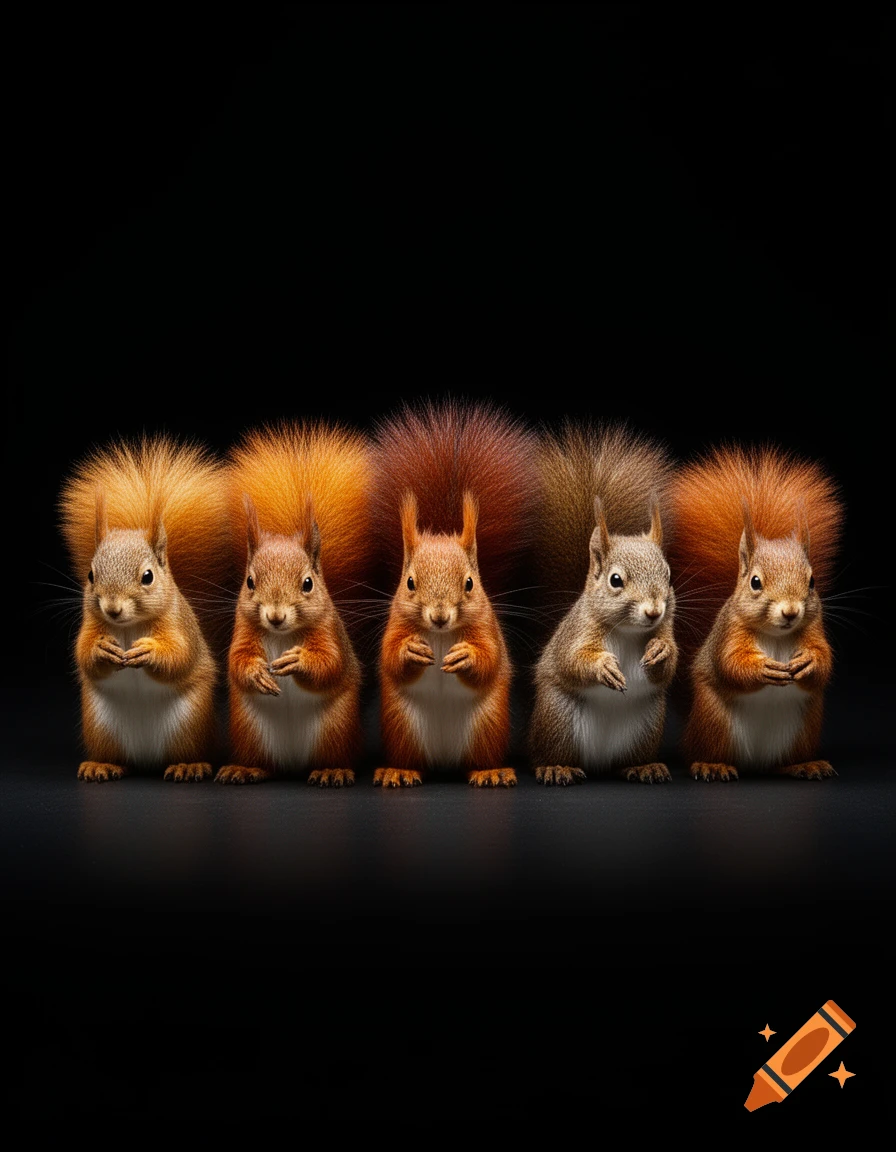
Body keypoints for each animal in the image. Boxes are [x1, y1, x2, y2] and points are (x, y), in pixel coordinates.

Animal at [58, 434, 232, 782]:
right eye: (91, 575)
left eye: (147, 576)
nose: (112, 609)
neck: (128, 627)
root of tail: (146, 759)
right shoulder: (90, 623)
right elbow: (83, 654)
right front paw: (100, 649)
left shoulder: (179, 625)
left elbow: (180, 655)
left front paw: (150, 651)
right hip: (101, 727)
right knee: (116, 756)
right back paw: (102, 764)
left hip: (190, 723)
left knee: (185, 751)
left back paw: (188, 765)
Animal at [215, 420, 374, 786]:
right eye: (249, 582)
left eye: (308, 584)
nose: (275, 616)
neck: (282, 635)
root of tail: (292, 764)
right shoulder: (243, 630)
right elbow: (236, 661)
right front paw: (257, 672)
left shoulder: (329, 631)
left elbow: (330, 663)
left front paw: (298, 661)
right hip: (249, 730)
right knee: (262, 762)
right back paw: (245, 768)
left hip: (335, 728)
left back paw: (332, 770)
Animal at [369, 397, 541, 787]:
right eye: (410, 582)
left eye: (470, 583)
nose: (439, 616)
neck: (440, 636)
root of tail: (444, 762)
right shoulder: (395, 624)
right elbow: (390, 657)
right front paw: (410, 651)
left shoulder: (487, 628)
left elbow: (490, 659)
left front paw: (466, 656)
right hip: (402, 727)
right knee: (411, 758)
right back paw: (399, 770)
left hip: (487, 727)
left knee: (478, 759)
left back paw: (490, 771)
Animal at [527, 420, 679, 784]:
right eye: (615, 580)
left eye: (668, 575)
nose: (654, 611)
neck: (627, 631)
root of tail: (598, 763)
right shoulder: (579, 633)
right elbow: (572, 660)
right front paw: (602, 667)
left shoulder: (667, 628)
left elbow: (667, 670)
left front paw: (661, 650)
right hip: (557, 719)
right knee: (547, 753)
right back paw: (555, 766)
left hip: (648, 725)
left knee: (629, 759)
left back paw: (644, 766)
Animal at [665, 442, 843, 781]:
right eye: (755, 582)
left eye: (811, 581)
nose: (791, 612)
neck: (776, 635)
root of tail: (757, 764)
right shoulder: (730, 632)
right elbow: (730, 663)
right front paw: (762, 669)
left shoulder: (815, 628)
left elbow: (824, 661)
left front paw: (810, 662)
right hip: (714, 721)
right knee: (706, 751)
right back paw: (712, 764)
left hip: (805, 727)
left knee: (783, 762)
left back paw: (804, 764)